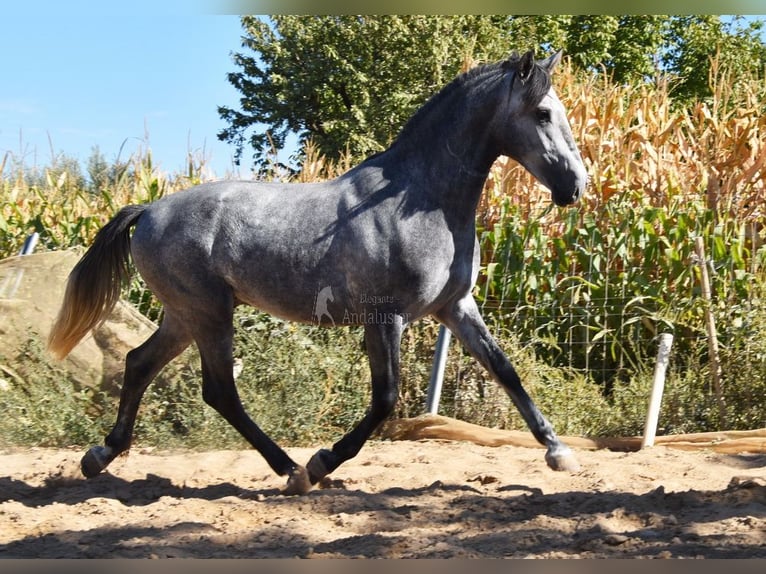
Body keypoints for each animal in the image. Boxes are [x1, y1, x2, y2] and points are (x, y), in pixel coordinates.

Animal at [49, 49, 588, 496]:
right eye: (542, 113)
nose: (576, 187)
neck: (420, 201)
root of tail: (148, 210)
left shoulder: (454, 307)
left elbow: (505, 371)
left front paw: (559, 452)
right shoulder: (385, 318)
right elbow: (385, 399)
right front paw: (324, 460)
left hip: (185, 316)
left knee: (140, 363)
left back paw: (99, 456)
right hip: (207, 314)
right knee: (218, 390)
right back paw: (292, 471)